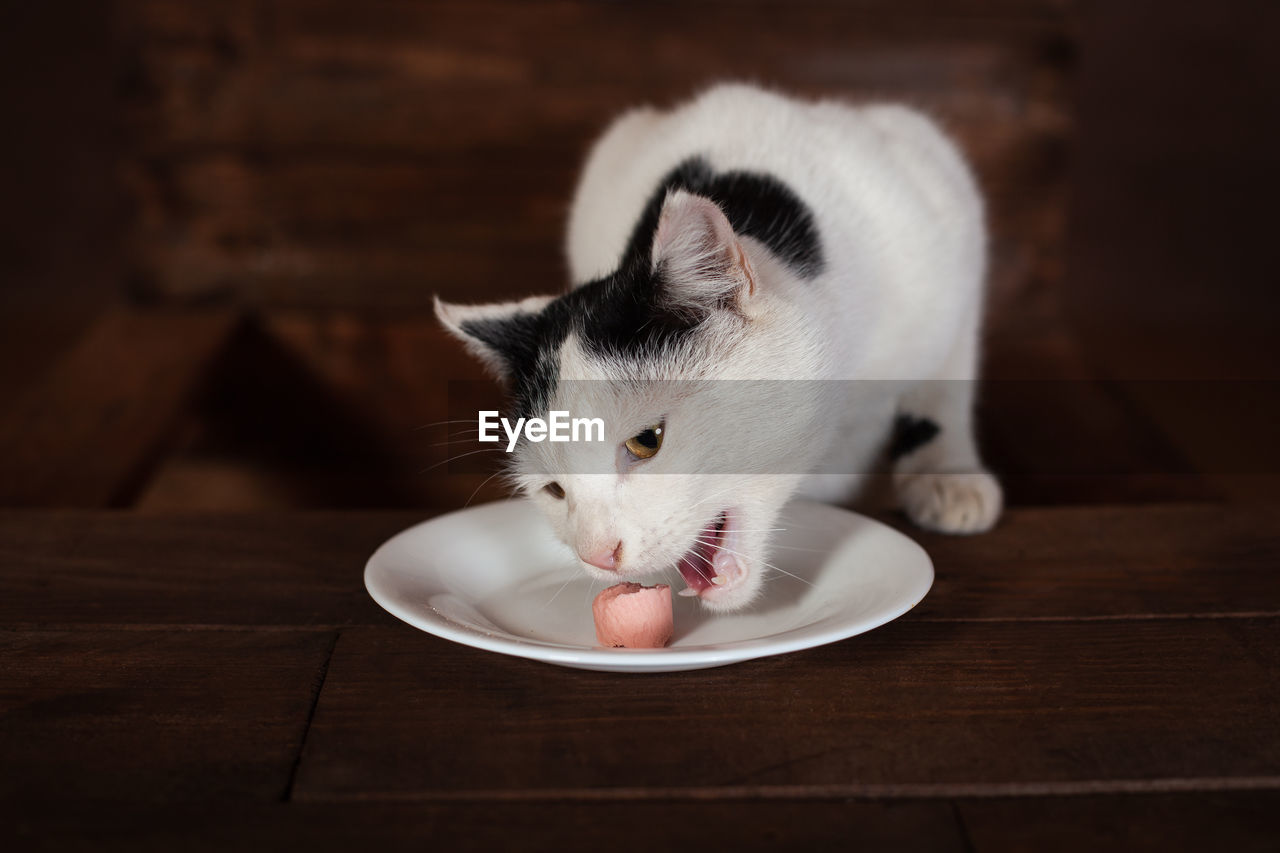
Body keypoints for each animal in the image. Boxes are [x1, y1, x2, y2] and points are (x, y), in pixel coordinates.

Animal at [435, 83, 1003, 607]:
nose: (597, 556)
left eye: (647, 441)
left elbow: (948, 380)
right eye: (553, 490)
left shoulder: (938, 197)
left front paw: (948, 474)